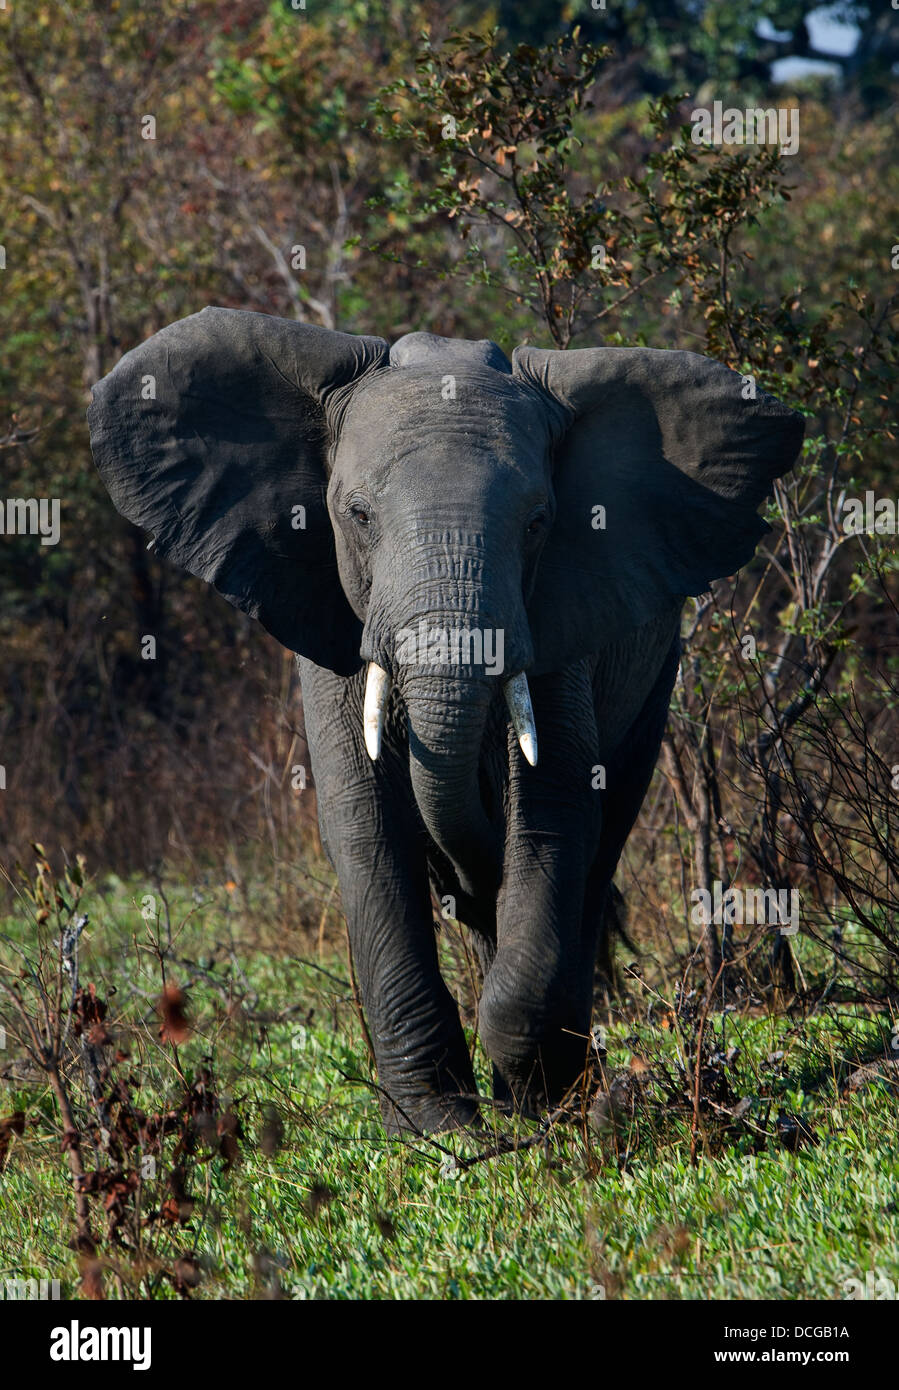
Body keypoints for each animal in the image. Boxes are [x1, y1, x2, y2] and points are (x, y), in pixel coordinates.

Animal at [87, 309, 805, 1134]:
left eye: (538, 522)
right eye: (356, 514)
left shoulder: (557, 614)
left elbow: (555, 809)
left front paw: (537, 1103)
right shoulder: (336, 621)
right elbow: (364, 821)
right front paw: (436, 1124)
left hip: (658, 671)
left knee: (598, 844)